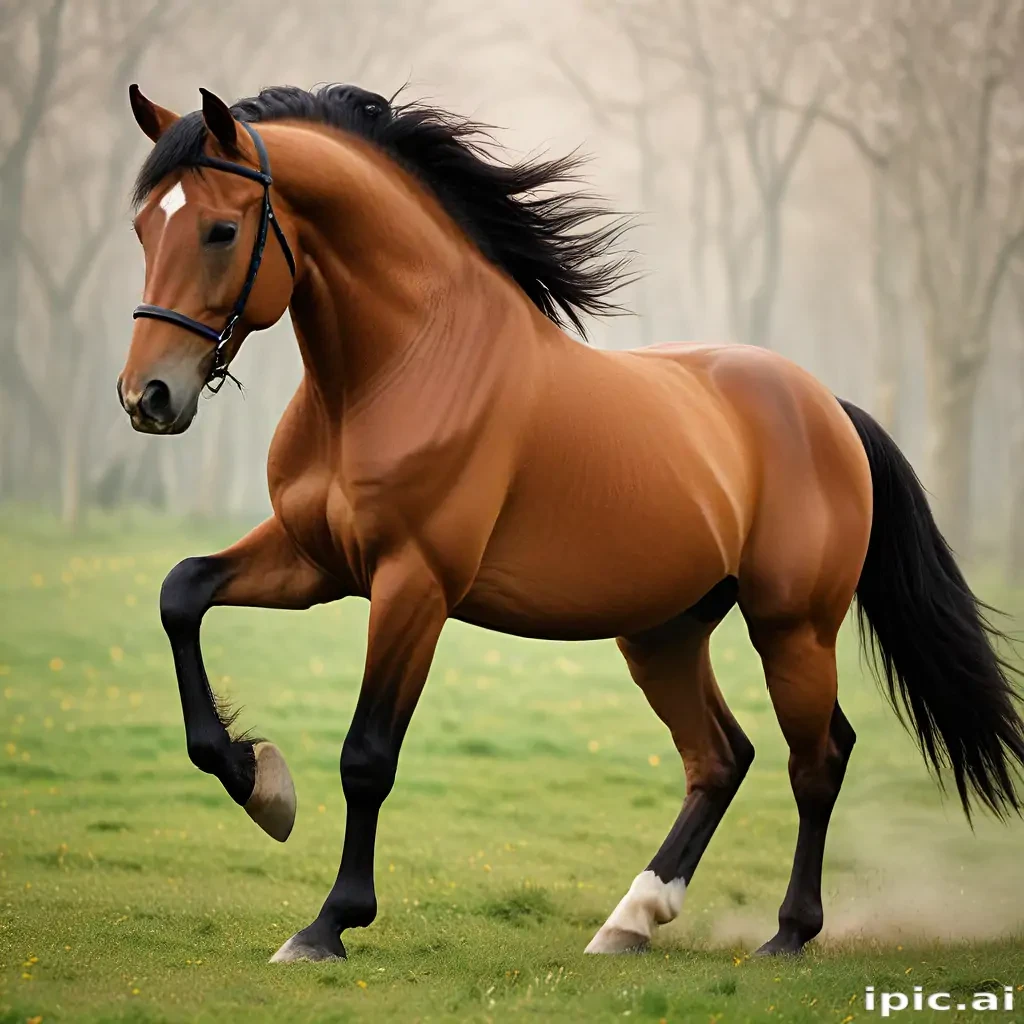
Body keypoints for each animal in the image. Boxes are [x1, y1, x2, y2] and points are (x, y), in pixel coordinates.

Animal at [117, 82, 1024, 964]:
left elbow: (368, 756)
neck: (402, 368)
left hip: (792, 628)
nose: (147, 397)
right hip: (663, 633)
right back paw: (632, 920)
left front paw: (328, 924)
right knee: (722, 756)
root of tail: (827, 408)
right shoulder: (317, 562)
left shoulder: (413, 585)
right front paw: (259, 781)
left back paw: (788, 933)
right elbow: (180, 593)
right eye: (142, 227)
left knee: (818, 760)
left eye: (221, 229)